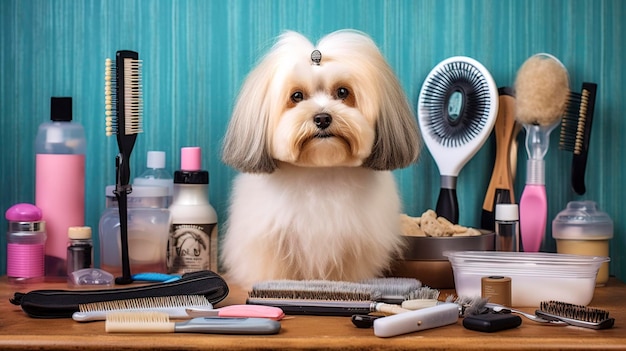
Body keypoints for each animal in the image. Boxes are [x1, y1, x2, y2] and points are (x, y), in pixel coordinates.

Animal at [219, 29, 420, 288]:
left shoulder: (355, 241)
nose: (323, 118)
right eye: (297, 96)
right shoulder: (272, 238)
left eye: (343, 92)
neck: (320, 170)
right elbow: (278, 268)